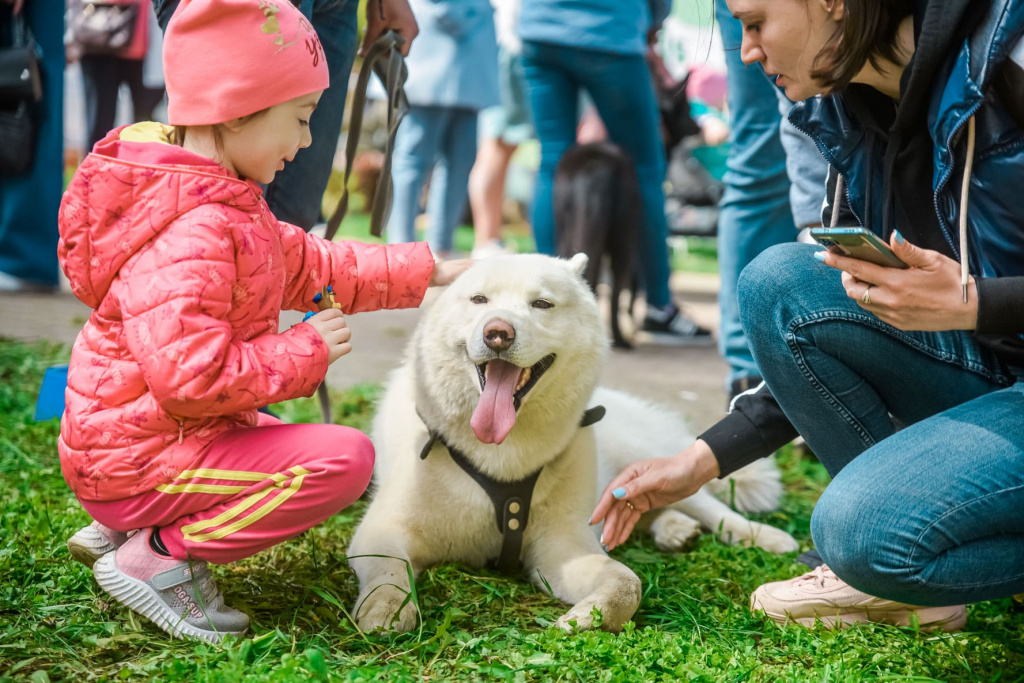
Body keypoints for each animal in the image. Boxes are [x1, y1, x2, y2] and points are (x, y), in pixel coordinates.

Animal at [352, 254, 798, 634]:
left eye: (542, 304)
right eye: (479, 299)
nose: (497, 333)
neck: (501, 457)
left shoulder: (562, 546)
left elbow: (627, 583)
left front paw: (590, 617)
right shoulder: (381, 531)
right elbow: (389, 572)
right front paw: (387, 608)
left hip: (646, 464)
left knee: (709, 505)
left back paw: (761, 535)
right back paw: (674, 529)